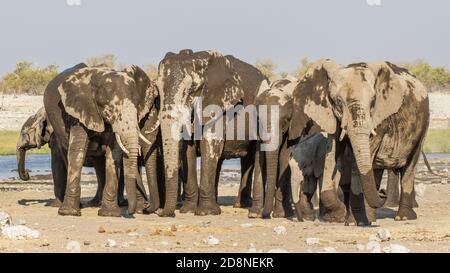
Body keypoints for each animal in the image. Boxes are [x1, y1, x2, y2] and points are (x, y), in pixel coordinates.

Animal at [44, 62, 159, 216]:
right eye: (109, 109)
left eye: (136, 107)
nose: (132, 211)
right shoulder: (78, 111)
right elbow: (77, 150)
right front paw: (69, 213)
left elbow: (113, 153)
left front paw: (110, 214)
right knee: (65, 154)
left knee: (98, 162)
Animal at [288, 59, 428, 221]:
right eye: (338, 101)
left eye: (373, 101)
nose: (383, 192)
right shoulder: (332, 117)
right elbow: (333, 153)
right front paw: (342, 216)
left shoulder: (379, 117)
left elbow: (358, 159)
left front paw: (351, 220)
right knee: (376, 168)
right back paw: (371, 216)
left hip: (422, 126)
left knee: (410, 166)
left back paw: (403, 217)